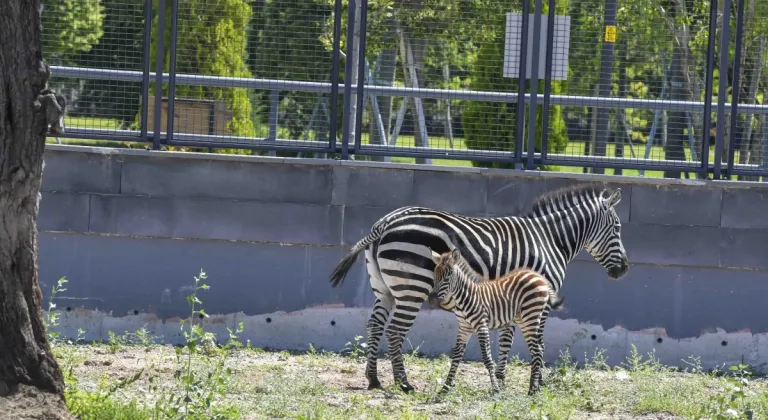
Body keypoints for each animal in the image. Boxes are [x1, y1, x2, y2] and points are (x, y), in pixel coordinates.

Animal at [428, 248, 564, 396]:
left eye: (448, 276)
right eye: (435, 275)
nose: (432, 301)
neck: (465, 297)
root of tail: (538, 276)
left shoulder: (481, 326)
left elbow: (487, 358)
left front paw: (496, 389)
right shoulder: (464, 328)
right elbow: (456, 357)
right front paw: (445, 388)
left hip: (531, 316)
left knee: (537, 350)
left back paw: (532, 390)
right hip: (524, 319)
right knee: (537, 349)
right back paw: (536, 387)